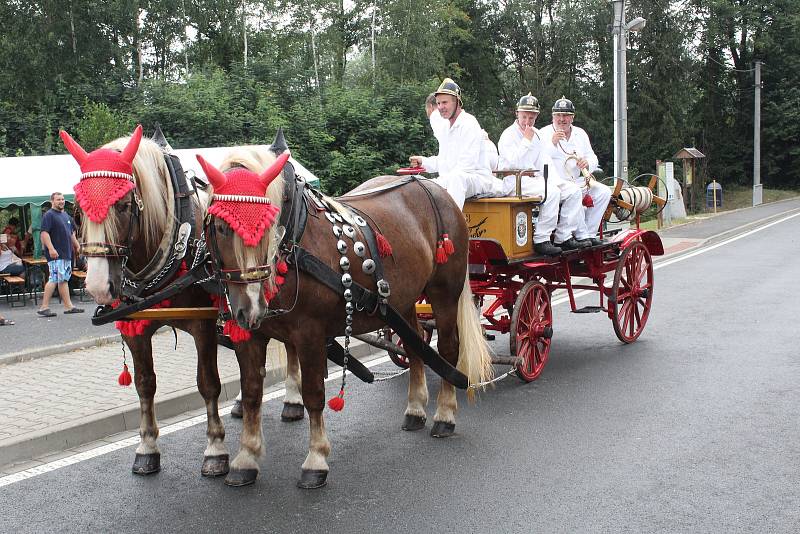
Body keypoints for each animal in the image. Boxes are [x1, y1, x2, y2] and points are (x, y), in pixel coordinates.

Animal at [198, 134, 494, 490]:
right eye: (221, 227)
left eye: (269, 224)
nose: (251, 307)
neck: (296, 239)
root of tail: (434, 188)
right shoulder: (250, 336)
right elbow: (253, 392)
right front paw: (246, 457)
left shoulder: (309, 334)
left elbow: (313, 393)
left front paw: (316, 459)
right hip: (404, 299)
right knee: (414, 347)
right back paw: (415, 409)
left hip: (444, 290)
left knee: (448, 349)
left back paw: (445, 414)